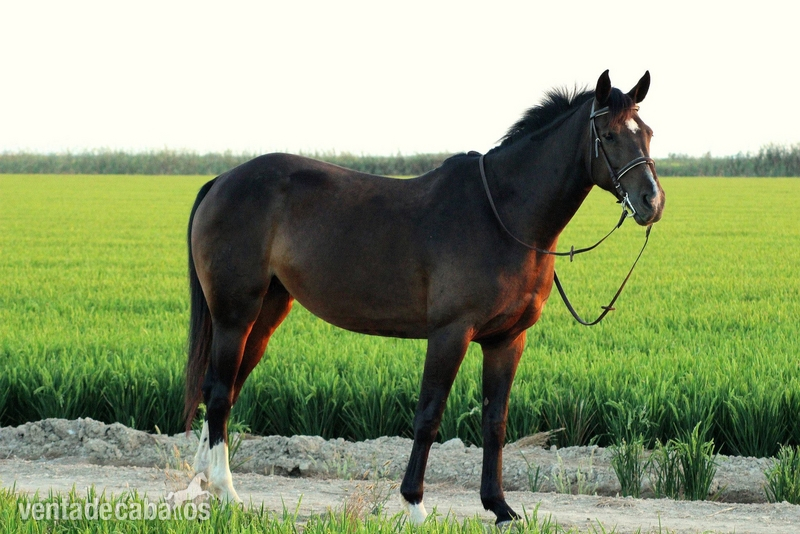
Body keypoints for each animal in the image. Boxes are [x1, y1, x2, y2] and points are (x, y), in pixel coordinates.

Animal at [184, 70, 664, 525]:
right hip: (234, 316)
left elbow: (495, 421)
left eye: (647, 132)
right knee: (221, 392)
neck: (503, 215)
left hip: (265, 315)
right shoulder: (450, 334)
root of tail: (222, 180)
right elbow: (429, 416)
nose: (652, 202)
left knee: (222, 389)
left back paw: (201, 483)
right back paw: (226, 491)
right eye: (608, 135)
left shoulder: (507, 340)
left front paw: (499, 507)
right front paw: (414, 504)